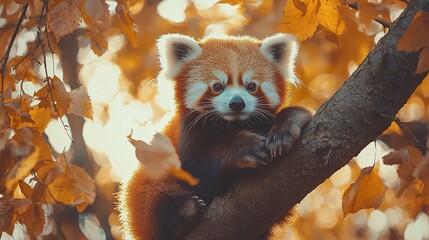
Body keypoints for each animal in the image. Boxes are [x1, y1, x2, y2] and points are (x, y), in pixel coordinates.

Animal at [118, 33, 312, 240]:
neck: (231, 124)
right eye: (217, 86)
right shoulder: (187, 141)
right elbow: (200, 173)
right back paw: (184, 214)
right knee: (153, 191)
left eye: (251, 86)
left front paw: (288, 123)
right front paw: (243, 148)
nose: (237, 103)